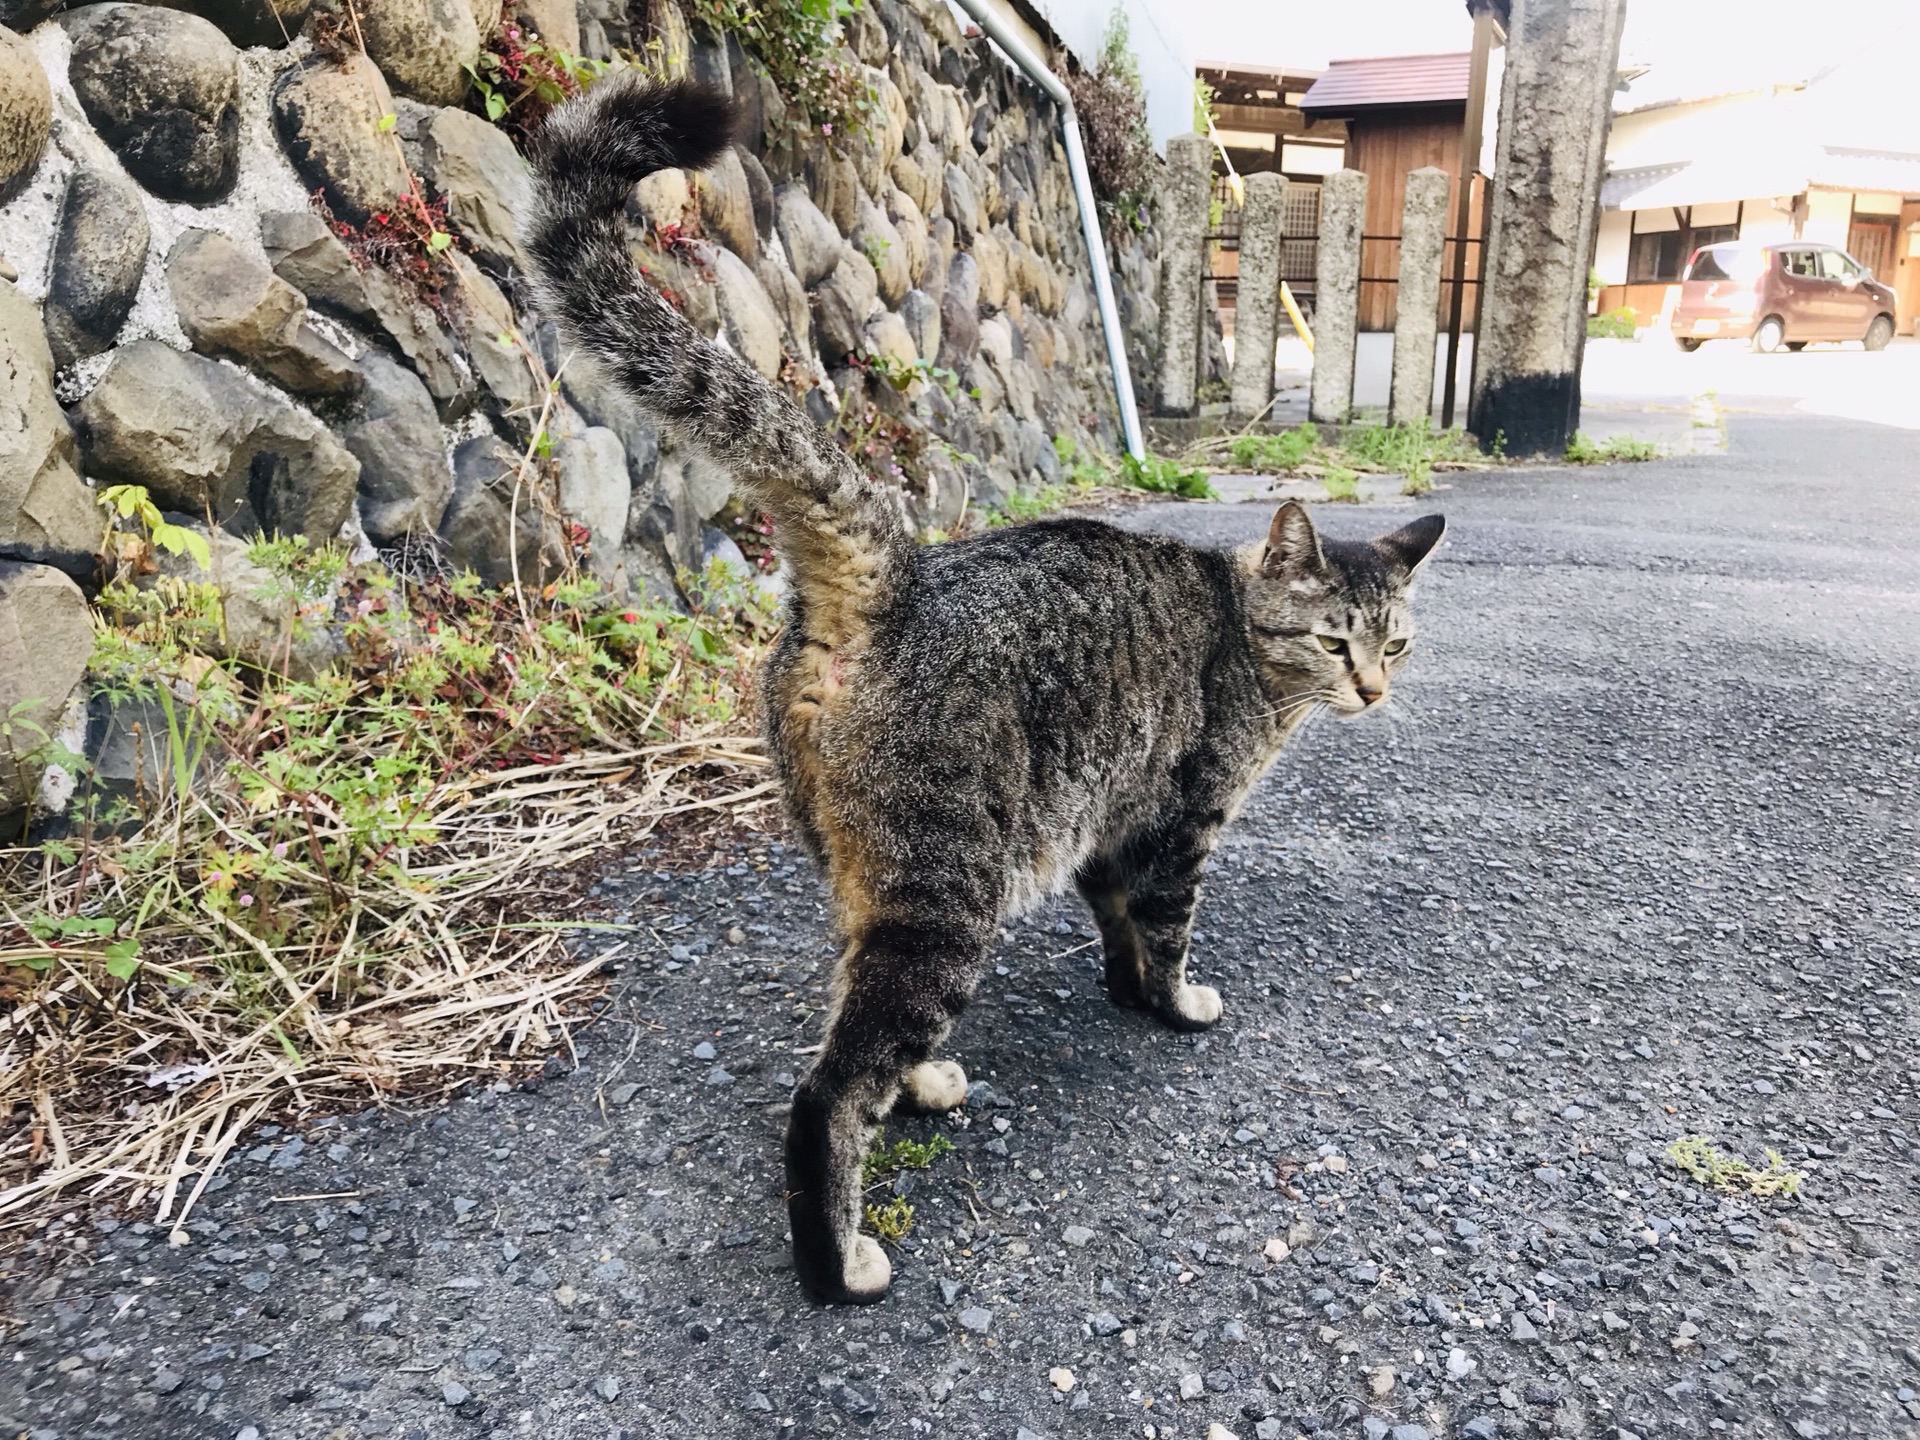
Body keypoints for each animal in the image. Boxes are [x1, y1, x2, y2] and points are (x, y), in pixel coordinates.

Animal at [526, 76, 1443, 1305]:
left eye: (1399, 642)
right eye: (1338, 642)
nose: (1376, 693)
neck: (1247, 646)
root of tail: (897, 576)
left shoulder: (1113, 819)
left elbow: (1119, 920)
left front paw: (1125, 992)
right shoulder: (1183, 817)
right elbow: (1169, 929)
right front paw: (1177, 1006)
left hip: (866, 874)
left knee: (854, 1023)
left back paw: (921, 1086)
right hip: (948, 889)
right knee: (828, 1090)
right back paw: (840, 1263)